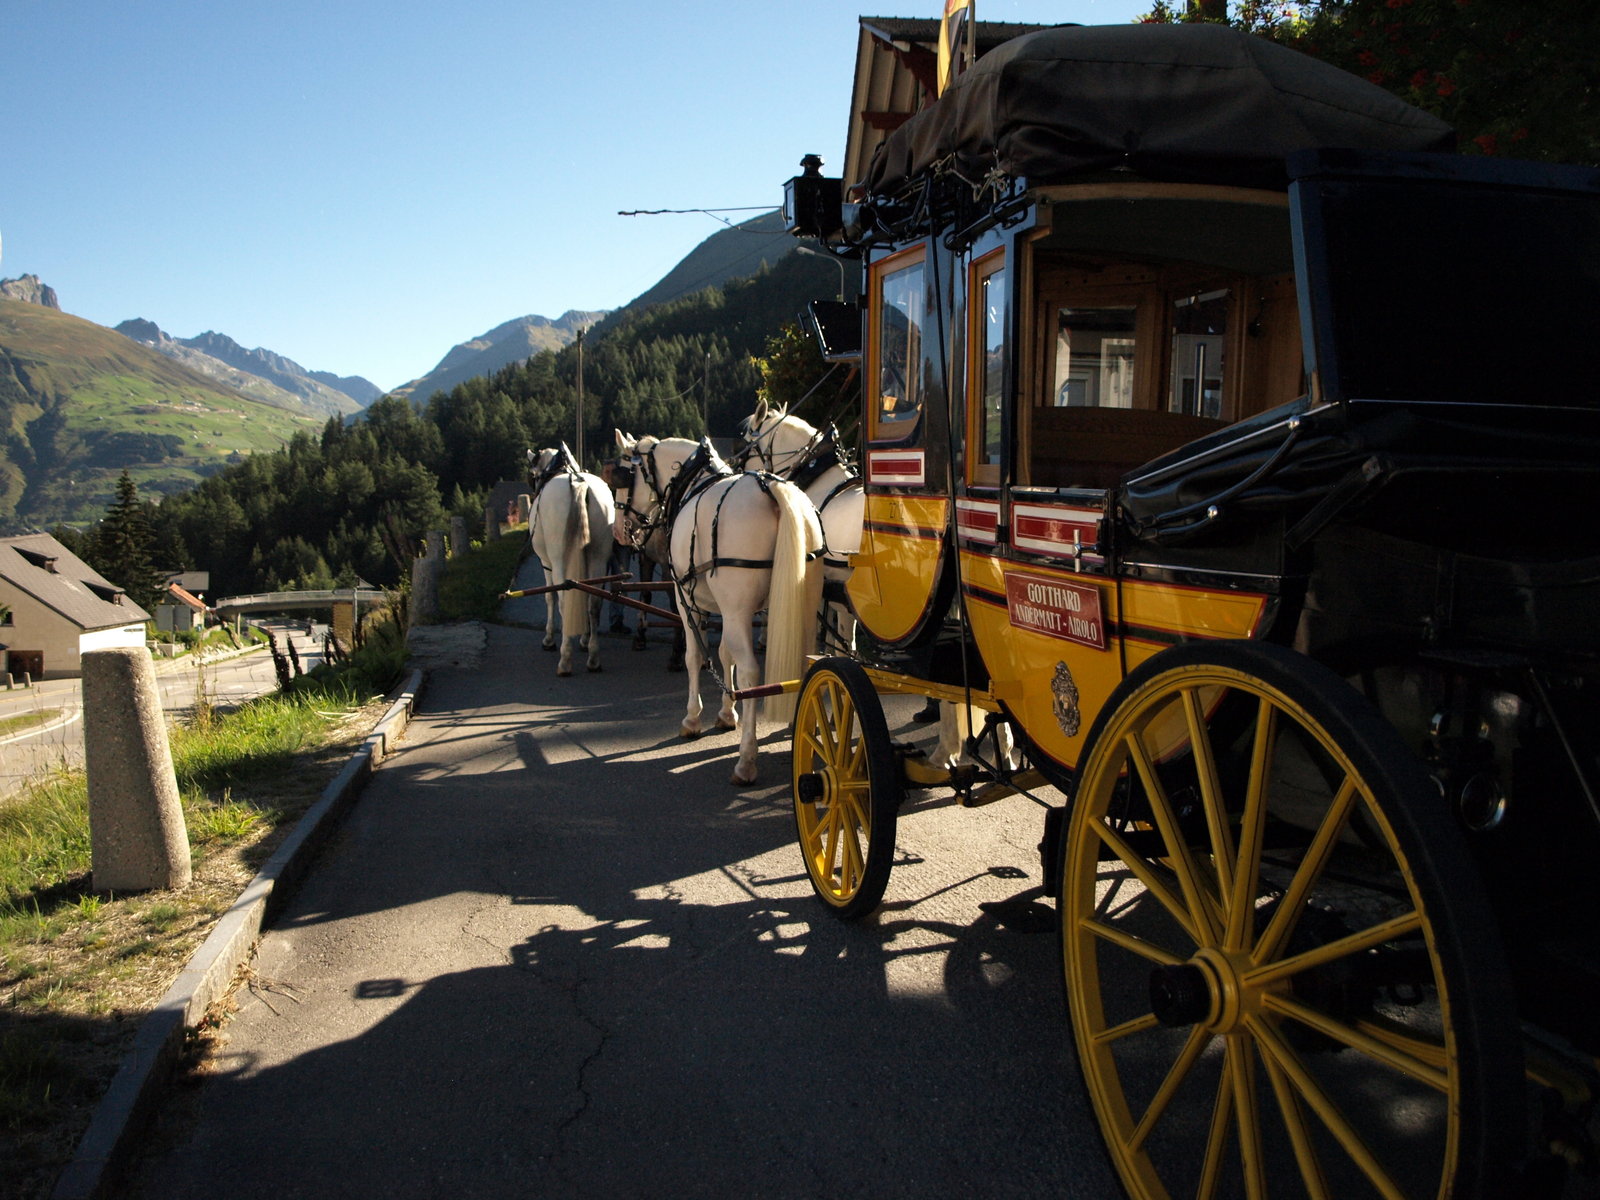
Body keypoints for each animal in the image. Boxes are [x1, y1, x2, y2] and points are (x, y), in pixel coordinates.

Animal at [526, 445, 616, 676]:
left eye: (532, 475)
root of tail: (578, 483)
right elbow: (584, 596)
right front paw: (584, 639)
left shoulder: (545, 563)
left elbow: (550, 597)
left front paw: (549, 639)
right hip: (598, 557)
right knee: (594, 603)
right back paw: (593, 658)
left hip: (558, 559)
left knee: (564, 598)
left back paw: (565, 660)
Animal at [612, 429, 823, 785]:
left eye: (623, 474)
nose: (618, 530)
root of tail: (771, 488)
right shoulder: (728, 609)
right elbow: (725, 654)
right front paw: (726, 712)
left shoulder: (687, 599)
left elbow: (695, 657)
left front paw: (692, 719)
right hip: (799, 605)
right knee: (805, 658)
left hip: (733, 609)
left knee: (752, 671)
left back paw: (746, 759)